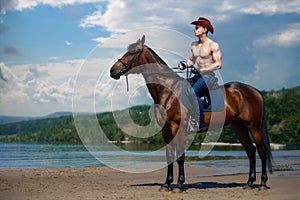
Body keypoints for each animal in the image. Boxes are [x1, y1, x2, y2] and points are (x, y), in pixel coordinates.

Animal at [109, 35, 272, 192]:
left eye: (132, 52)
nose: (112, 71)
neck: (168, 91)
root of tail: (254, 91)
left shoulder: (178, 128)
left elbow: (180, 157)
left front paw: (179, 185)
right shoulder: (166, 130)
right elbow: (169, 156)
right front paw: (166, 184)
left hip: (254, 127)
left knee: (261, 151)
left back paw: (263, 183)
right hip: (239, 127)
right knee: (250, 151)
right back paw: (249, 183)